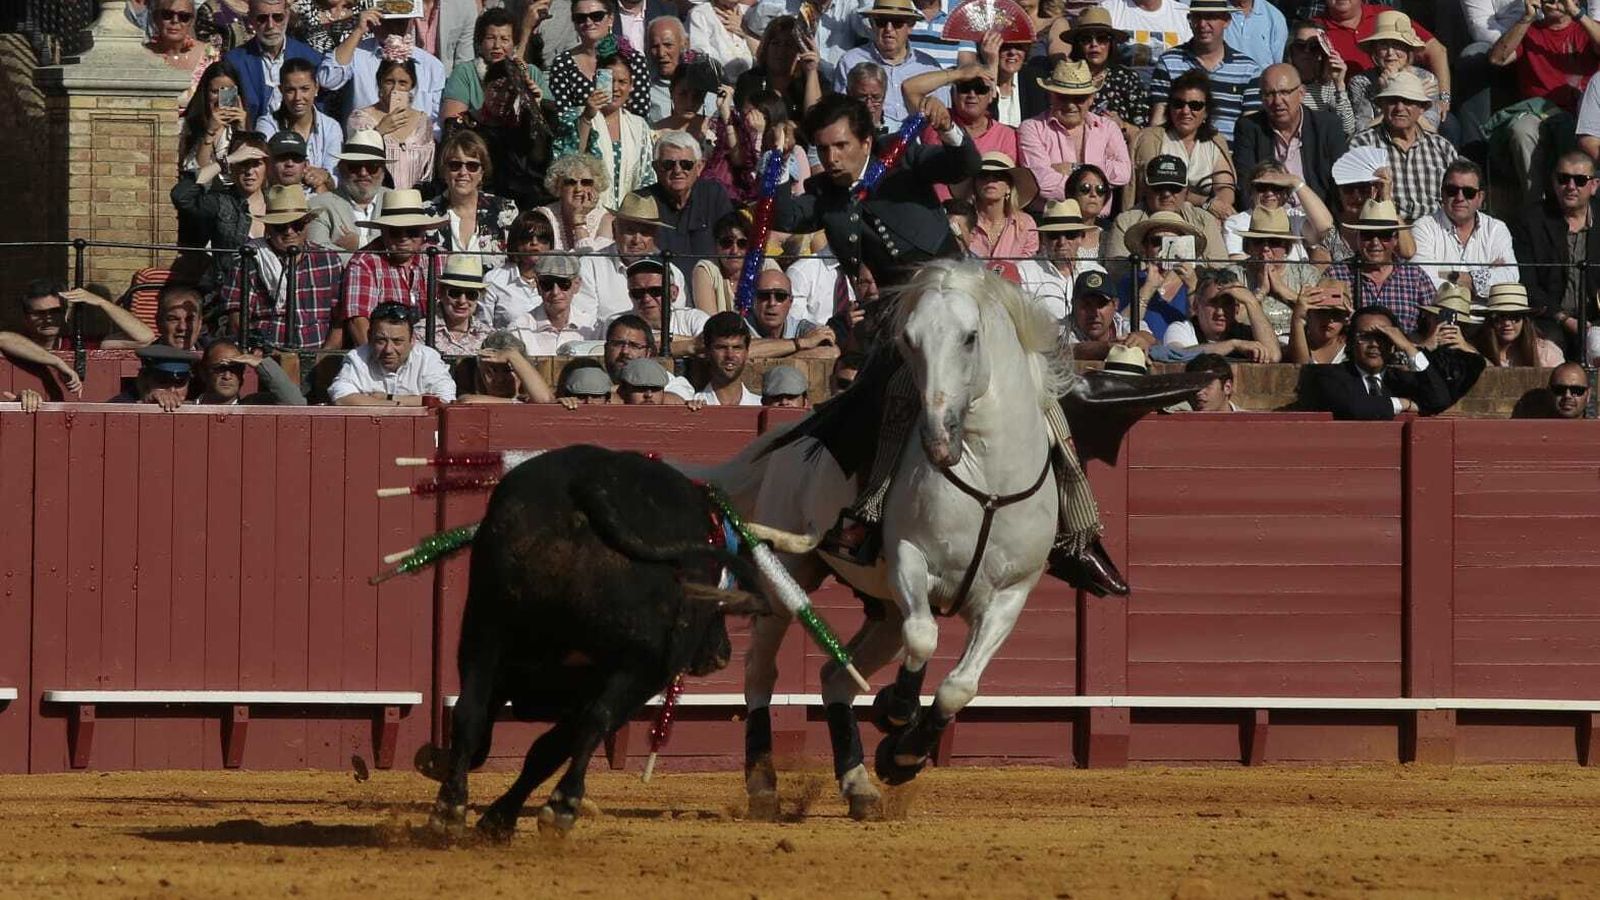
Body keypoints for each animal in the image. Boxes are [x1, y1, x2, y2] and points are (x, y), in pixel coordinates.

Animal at [695, 260, 1067, 819]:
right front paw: (895, 710)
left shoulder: (1012, 593)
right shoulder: (909, 560)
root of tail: (789, 433)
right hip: (788, 576)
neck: (989, 482)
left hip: (884, 610)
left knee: (835, 677)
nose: (938, 439)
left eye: (970, 337)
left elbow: (960, 685)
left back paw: (859, 785)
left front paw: (903, 754)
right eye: (909, 340)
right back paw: (763, 784)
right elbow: (926, 636)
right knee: (761, 671)